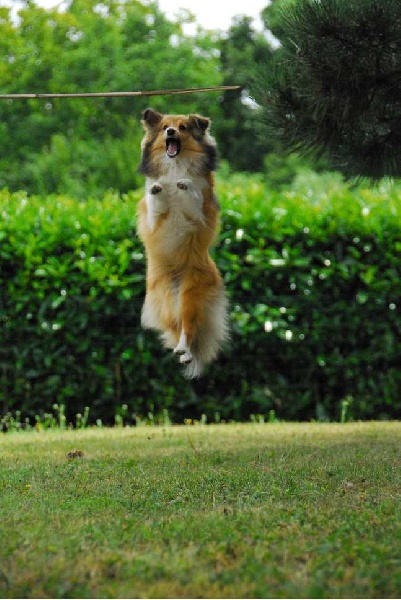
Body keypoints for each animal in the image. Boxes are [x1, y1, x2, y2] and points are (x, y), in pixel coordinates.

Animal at [136, 108, 227, 378]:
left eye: (183, 127)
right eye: (164, 126)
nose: (170, 132)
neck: (175, 166)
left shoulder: (199, 215)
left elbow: (194, 198)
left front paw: (185, 184)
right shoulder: (153, 220)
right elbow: (155, 203)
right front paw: (158, 189)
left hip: (190, 296)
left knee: (188, 328)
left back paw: (186, 352)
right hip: (165, 301)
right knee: (176, 329)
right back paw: (180, 350)